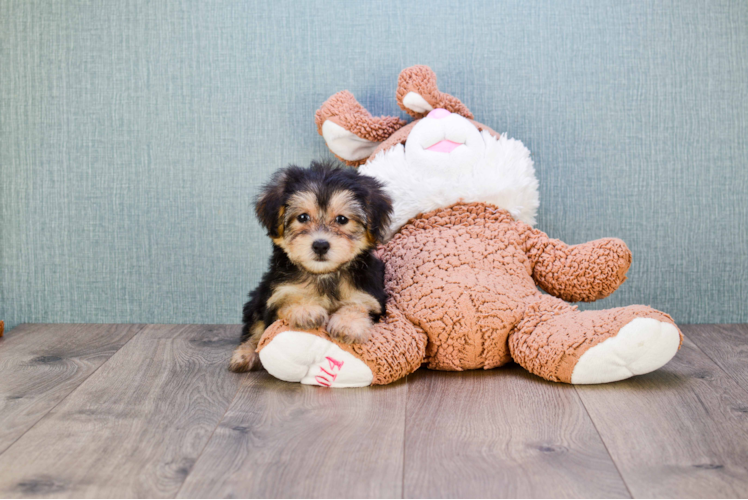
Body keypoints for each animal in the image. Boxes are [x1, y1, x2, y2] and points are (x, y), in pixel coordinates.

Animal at [229, 160, 394, 372]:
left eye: (342, 219)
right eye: (302, 217)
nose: (320, 245)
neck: (323, 275)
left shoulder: (370, 297)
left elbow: (358, 306)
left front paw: (347, 325)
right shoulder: (276, 296)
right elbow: (287, 302)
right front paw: (305, 310)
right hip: (258, 297)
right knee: (254, 329)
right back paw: (245, 354)